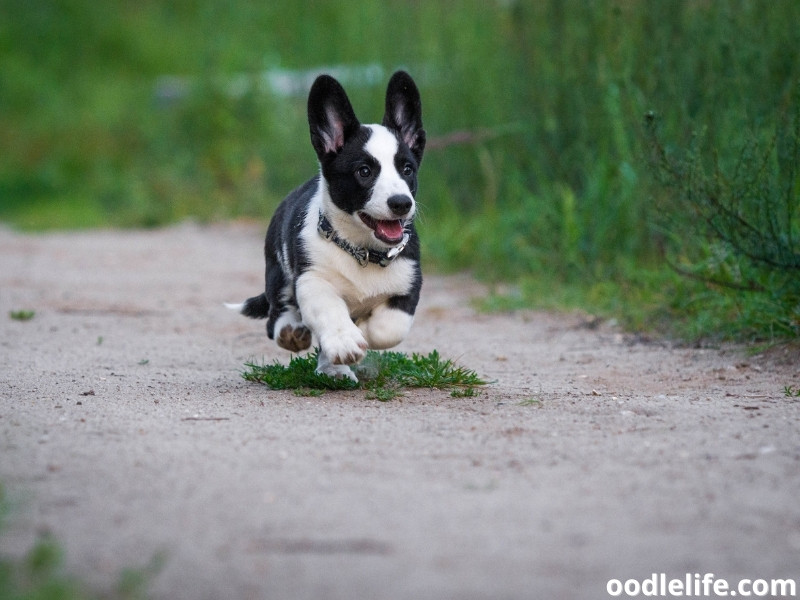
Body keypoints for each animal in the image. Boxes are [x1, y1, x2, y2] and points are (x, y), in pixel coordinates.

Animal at [230, 70, 424, 380]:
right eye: (364, 172)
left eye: (407, 169)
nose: (401, 203)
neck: (362, 250)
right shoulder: (312, 279)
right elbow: (330, 310)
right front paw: (345, 341)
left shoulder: (408, 286)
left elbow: (389, 328)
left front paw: (362, 331)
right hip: (278, 271)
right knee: (276, 316)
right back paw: (293, 332)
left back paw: (333, 369)